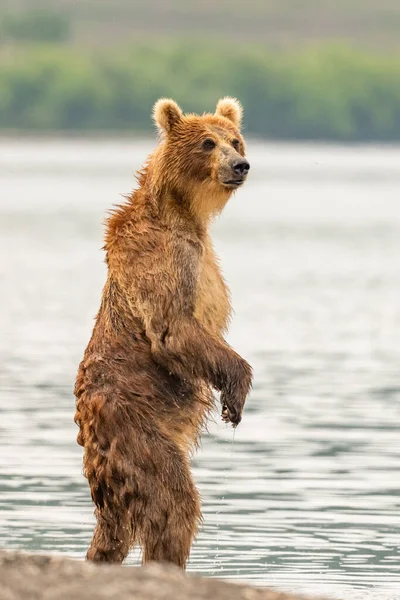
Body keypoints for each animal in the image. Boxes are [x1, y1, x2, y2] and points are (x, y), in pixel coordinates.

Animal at [73, 97, 252, 568]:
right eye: (207, 142)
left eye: (235, 140)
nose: (240, 165)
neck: (184, 213)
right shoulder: (162, 255)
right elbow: (173, 327)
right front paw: (236, 392)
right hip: (134, 428)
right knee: (173, 501)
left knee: (117, 529)